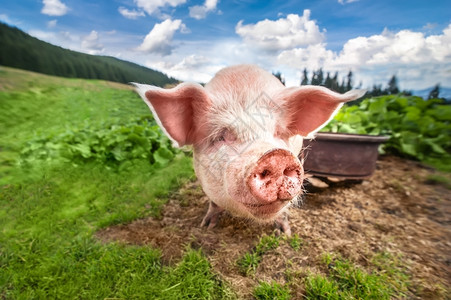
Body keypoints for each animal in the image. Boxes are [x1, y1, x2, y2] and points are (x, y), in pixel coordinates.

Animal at [132, 65, 366, 234]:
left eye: (279, 132)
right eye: (222, 135)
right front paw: (206, 227)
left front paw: (285, 234)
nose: (276, 156)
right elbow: (213, 204)